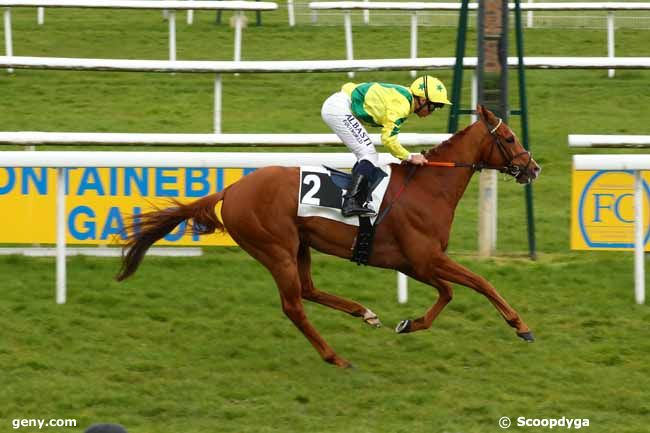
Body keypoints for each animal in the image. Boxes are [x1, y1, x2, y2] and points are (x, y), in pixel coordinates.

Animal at [117, 105, 540, 368]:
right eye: (510, 138)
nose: (533, 167)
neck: (427, 188)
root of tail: (231, 190)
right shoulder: (423, 259)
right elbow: (475, 283)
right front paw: (520, 326)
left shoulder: (414, 263)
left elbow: (452, 291)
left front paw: (407, 323)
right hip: (276, 248)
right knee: (294, 305)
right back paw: (334, 356)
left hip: (300, 245)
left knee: (307, 290)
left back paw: (364, 313)